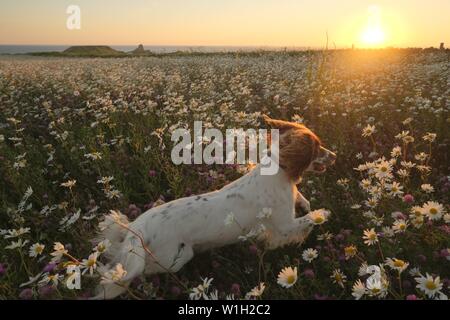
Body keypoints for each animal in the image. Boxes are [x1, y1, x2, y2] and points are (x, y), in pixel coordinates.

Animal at [94, 116, 334, 298]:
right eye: (317, 146)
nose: (334, 155)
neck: (279, 172)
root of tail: (138, 227)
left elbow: (302, 200)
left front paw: (305, 203)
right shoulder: (283, 226)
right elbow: (308, 219)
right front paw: (322, 213)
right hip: (174, 259)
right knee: (138, 271)